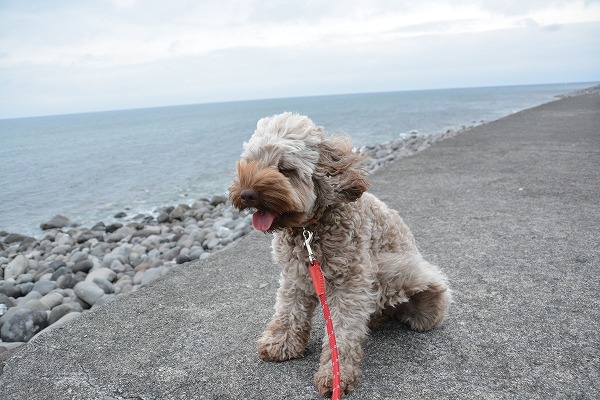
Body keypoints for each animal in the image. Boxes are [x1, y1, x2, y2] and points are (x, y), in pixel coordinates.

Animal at [230, 112, 450, 396]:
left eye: (285, 169)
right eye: (252, 162)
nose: (247, 195)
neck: (308, 230)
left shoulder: (350, 282)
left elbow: (342, 330)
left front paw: (337, 375)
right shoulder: (295, 275)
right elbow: (288, 310)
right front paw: (281, 344)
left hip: (401, 275)